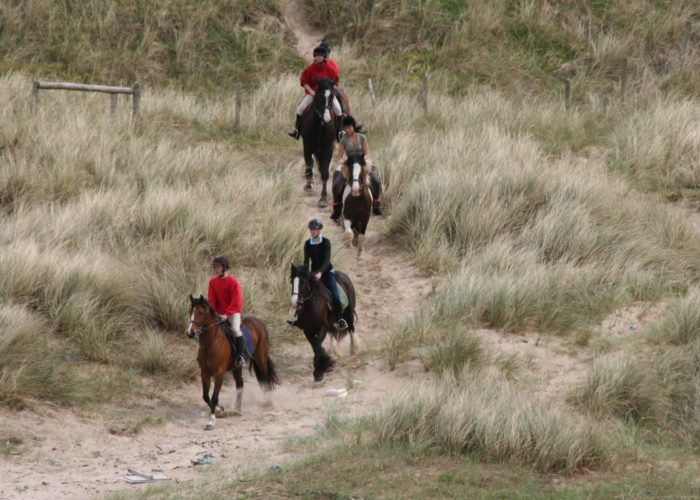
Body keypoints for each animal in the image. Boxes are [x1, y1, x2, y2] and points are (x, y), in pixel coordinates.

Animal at [186, 294, 278, 432]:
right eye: (190, 311)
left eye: (201, 313)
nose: (190, 333)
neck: (211, 342)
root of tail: (259, 323)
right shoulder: (205, 373)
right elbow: (206, 396)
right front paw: (219, 409)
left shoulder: (219, 373)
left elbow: (214, 397)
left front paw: (211, 421)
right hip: (237, 367)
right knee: (240, 384)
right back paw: (237, 410)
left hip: (260, 359)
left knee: (265, 378)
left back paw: (268, 403)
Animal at [300, 77, 338, 209]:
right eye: (319, 96)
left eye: (332, 96)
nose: (327, 118)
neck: (320, 127)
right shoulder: (307, 147)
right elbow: (309, 165)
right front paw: (309, 185)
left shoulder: (328, 149)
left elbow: (325, 173)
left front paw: (323, 199)